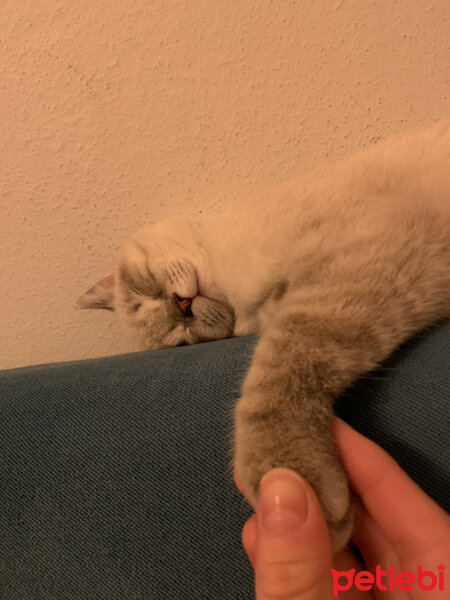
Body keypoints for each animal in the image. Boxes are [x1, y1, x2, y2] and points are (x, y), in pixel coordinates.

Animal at [79, 119, 450, 552]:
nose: (182, 307)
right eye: (181, 341)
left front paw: (288, 479)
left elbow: (272, 378)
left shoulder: (360, 258)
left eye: (143, 293)